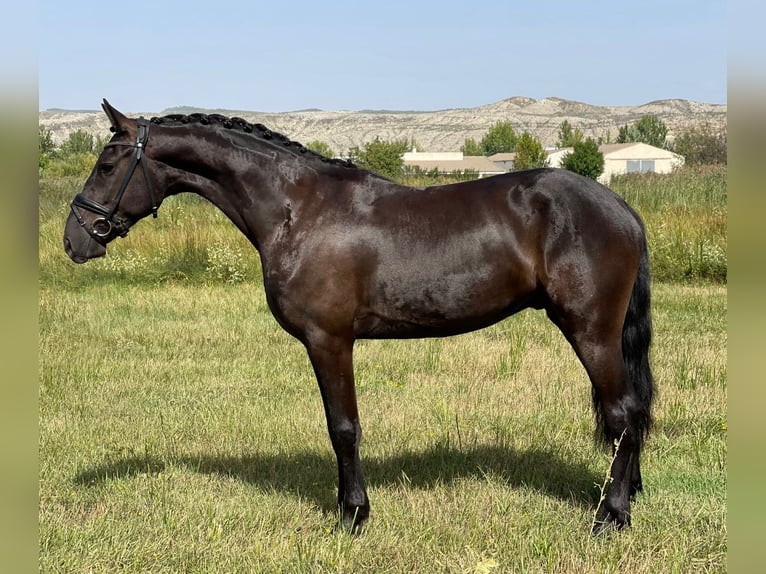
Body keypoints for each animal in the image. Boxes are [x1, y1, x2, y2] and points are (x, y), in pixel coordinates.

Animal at [63, 100, 656, 536]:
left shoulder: (329, 340)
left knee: (623, 414)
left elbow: (343, 427)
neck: (296, 209)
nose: (74, 240)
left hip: (591, 332)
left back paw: (611, 517)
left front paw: (352, 515)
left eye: (108, 164)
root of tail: (621, 208)